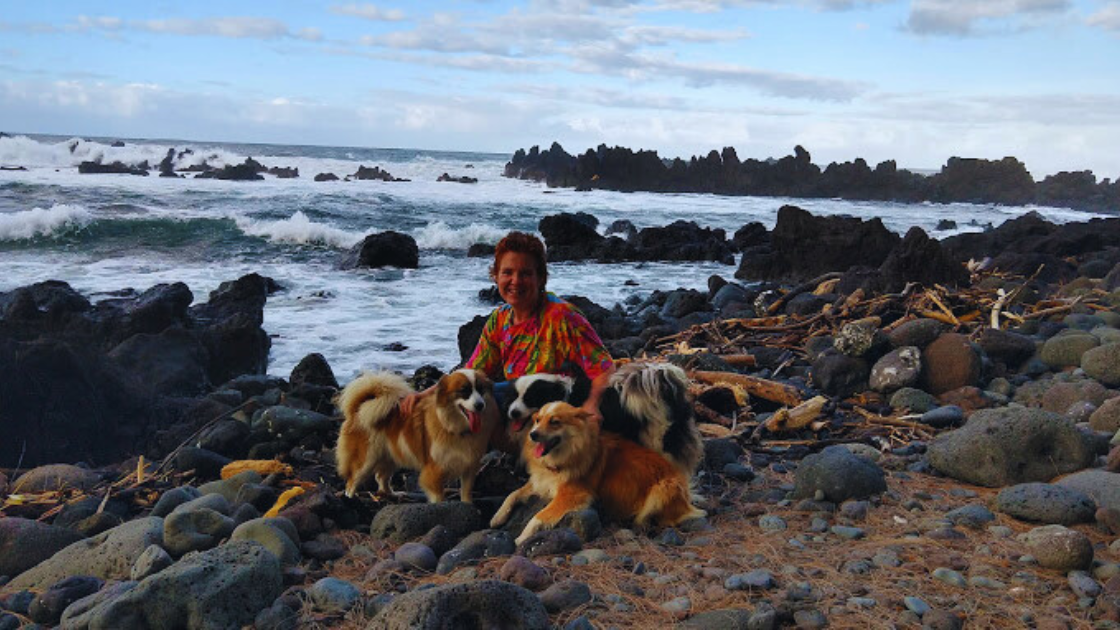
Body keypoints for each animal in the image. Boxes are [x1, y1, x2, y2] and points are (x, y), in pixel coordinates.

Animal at [331, 367, 499, 499]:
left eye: (481, 389)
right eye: (464, 391)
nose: (480, 405)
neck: (453, 427)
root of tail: (358, 409)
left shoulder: (469, 469)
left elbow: (466, 495)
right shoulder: (434, 473)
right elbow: (439, 499)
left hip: (391, 455)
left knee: (381, 477)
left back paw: (392, 494)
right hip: (365, 460)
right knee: (352, 481)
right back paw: (351, 498)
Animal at [488, 401, 698, 544]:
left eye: (555, 422)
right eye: (538, 420)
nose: (533, 434)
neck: (565, 455)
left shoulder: (572, 495)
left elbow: (538, 516)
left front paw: (521, 538)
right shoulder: (542, 482)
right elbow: (513, 494)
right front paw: (498, 517)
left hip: (663, 488)